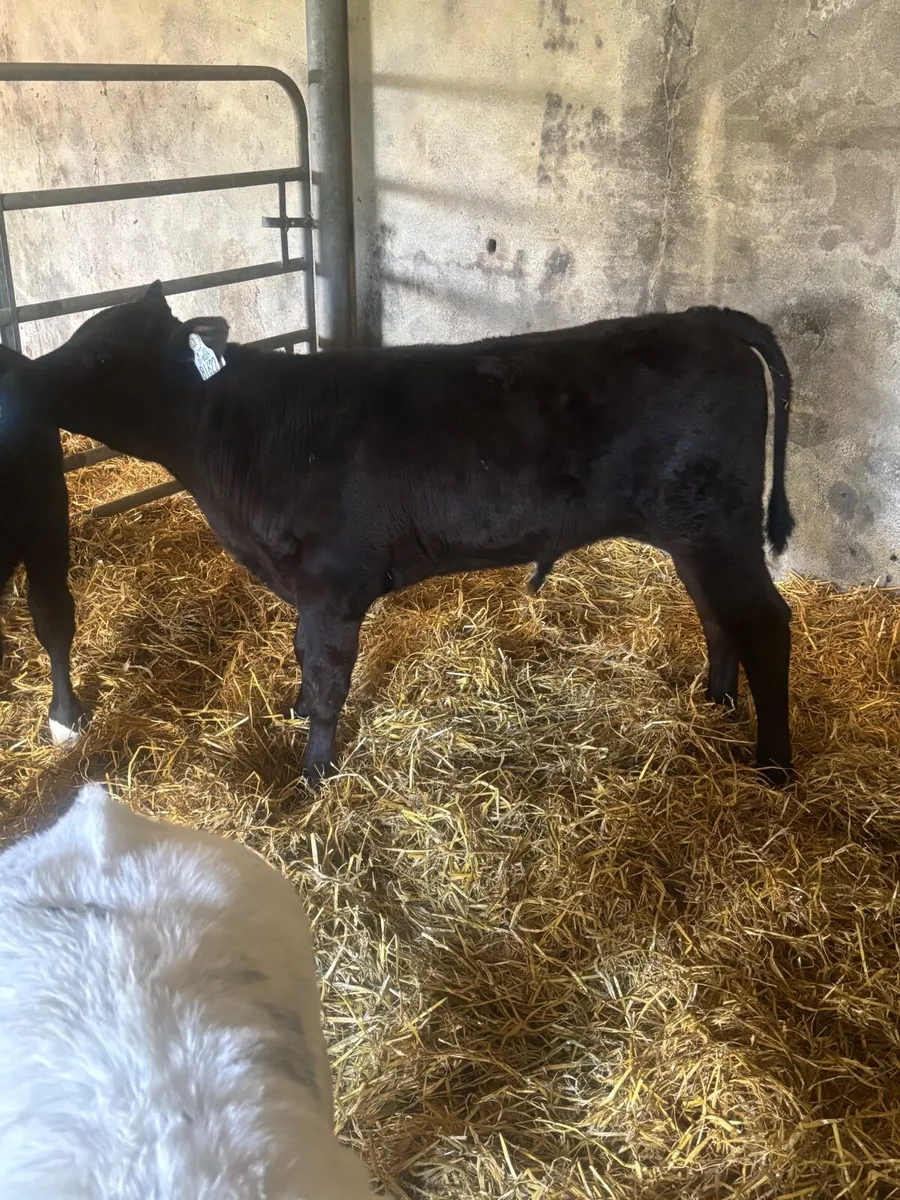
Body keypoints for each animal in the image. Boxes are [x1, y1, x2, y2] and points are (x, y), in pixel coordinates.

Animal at [2, 283, 795, 785]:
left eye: (100, 355)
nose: (22, 383)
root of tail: (706, 318)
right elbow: (305, 667)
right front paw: (294, 716)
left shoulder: (331, 585)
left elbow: (328, 679)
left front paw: (313, 776)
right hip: (693, 532)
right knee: (716, 613)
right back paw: (715, 700)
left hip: (719, 524)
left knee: (765, 622)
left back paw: (776, 764)